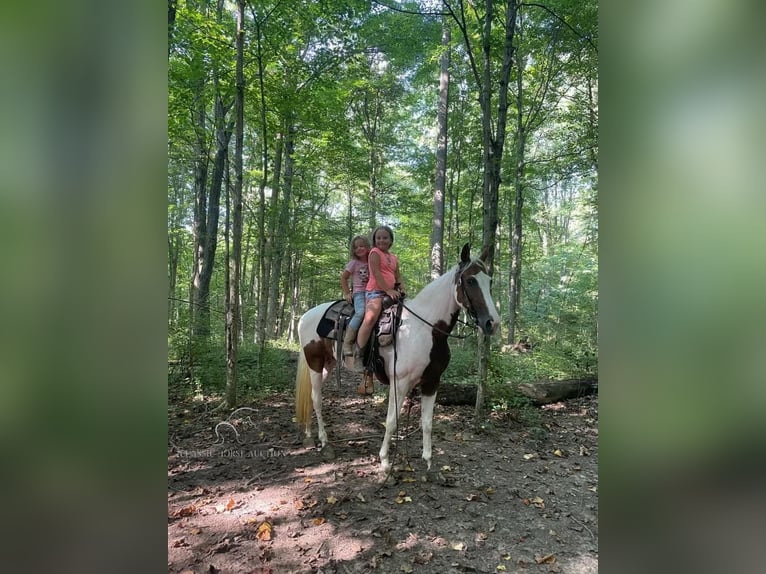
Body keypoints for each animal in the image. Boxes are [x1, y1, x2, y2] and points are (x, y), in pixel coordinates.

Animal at [296, 243, 504, 472]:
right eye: (470, 281)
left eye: (489, 281)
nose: (492, 323)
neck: (426, 329)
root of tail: (305, 316)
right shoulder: (400, 382)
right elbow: (392, 421)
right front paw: (385, 462)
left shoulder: (432, 382)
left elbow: (427, 423)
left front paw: (428, 463)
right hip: (314, 363)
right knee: (317, 399)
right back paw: (325, 444)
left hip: (329, 364)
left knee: (311, 396)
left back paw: (309, 436)